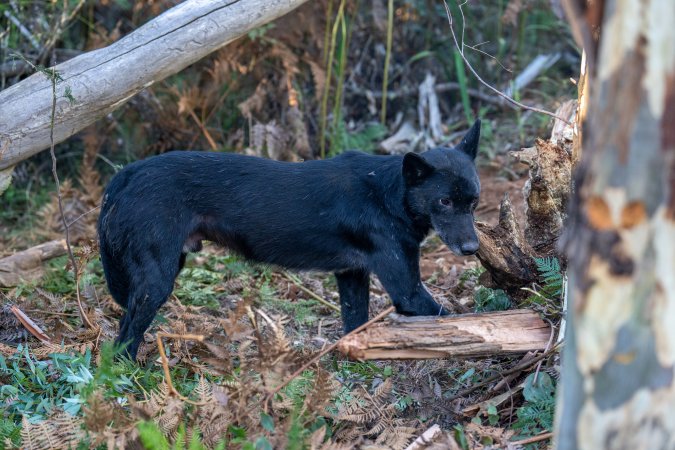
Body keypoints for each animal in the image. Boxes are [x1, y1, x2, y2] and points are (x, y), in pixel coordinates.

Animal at [99, 119, 480, 358]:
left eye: (474, 200)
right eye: (444, 202)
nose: (472, 248)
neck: (389, 195)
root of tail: (128, 172)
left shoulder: (352, 275)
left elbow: (354, 325)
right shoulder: (408, 291)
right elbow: (454, 321)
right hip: (156, 281)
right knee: (124, 335)